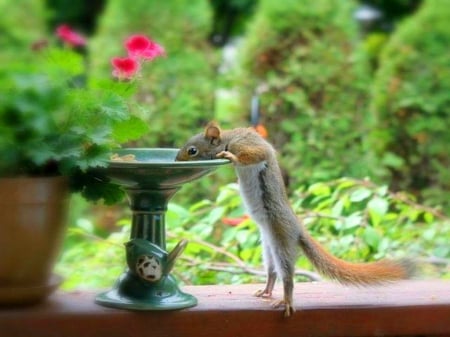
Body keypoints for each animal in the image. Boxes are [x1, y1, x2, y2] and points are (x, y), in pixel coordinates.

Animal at [176, 122, 414, 316]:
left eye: (192, 150)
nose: (177, 160)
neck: (228, 138)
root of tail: (297, 228)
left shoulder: (248, 143)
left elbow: (257, 154)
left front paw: (231, 158)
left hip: (282, 239)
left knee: (288, 277)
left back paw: (287, 300)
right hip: (268, 246)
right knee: (272, 272)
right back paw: (266, 290)